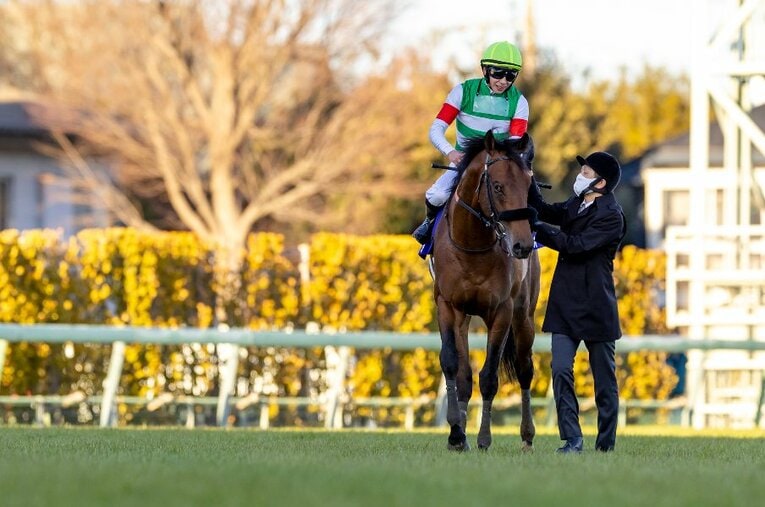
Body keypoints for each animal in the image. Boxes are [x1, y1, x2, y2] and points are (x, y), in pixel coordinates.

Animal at [431, 130, 540, 452]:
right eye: (497, 186)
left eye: (528, 186)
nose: (522, 245)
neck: (472, 246)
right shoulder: (448, 306)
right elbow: (453, 365)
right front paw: (456, 433)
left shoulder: (502, 311)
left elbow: (490, 376)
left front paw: (483, 438)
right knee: (465, 376)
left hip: (524, 317)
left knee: (525, 369)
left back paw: (527, 437)